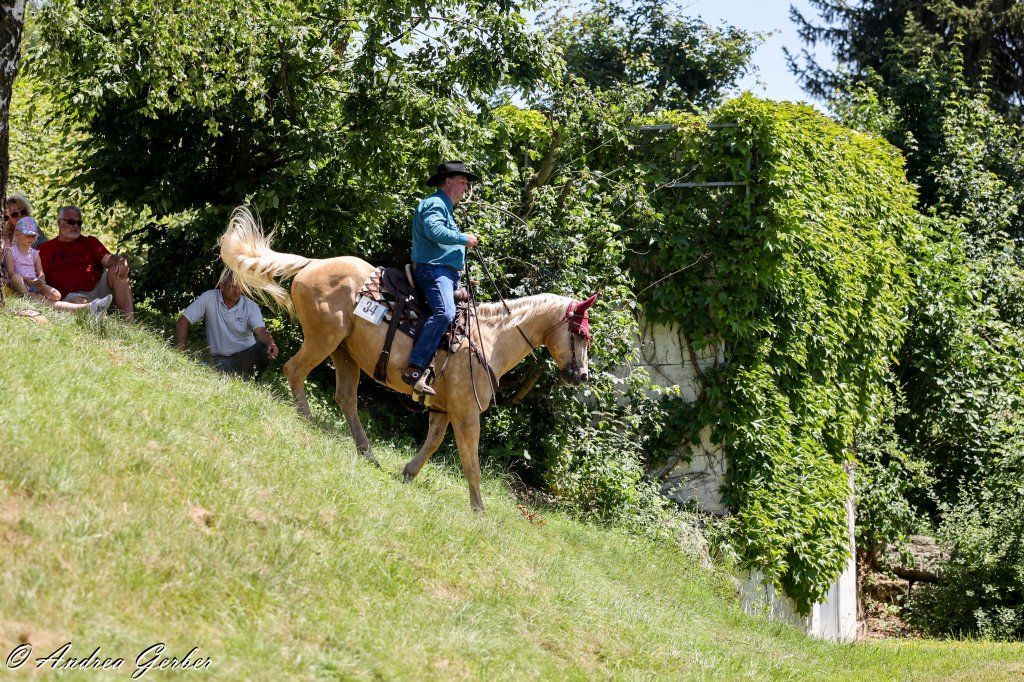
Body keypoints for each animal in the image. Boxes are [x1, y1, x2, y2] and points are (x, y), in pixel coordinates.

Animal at [218, 207, 595, 512]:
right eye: (580, 334)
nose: (582, 376)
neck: (488, 341)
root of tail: (315, 264)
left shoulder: (443, 409)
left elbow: (433, 443)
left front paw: (409, 473)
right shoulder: (466, 413)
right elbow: (470, 459)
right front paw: (479, 508)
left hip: (344, 353)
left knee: (346, 398)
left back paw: (367, 452)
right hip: (322, 340)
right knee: (294, 370)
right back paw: (307, 419)